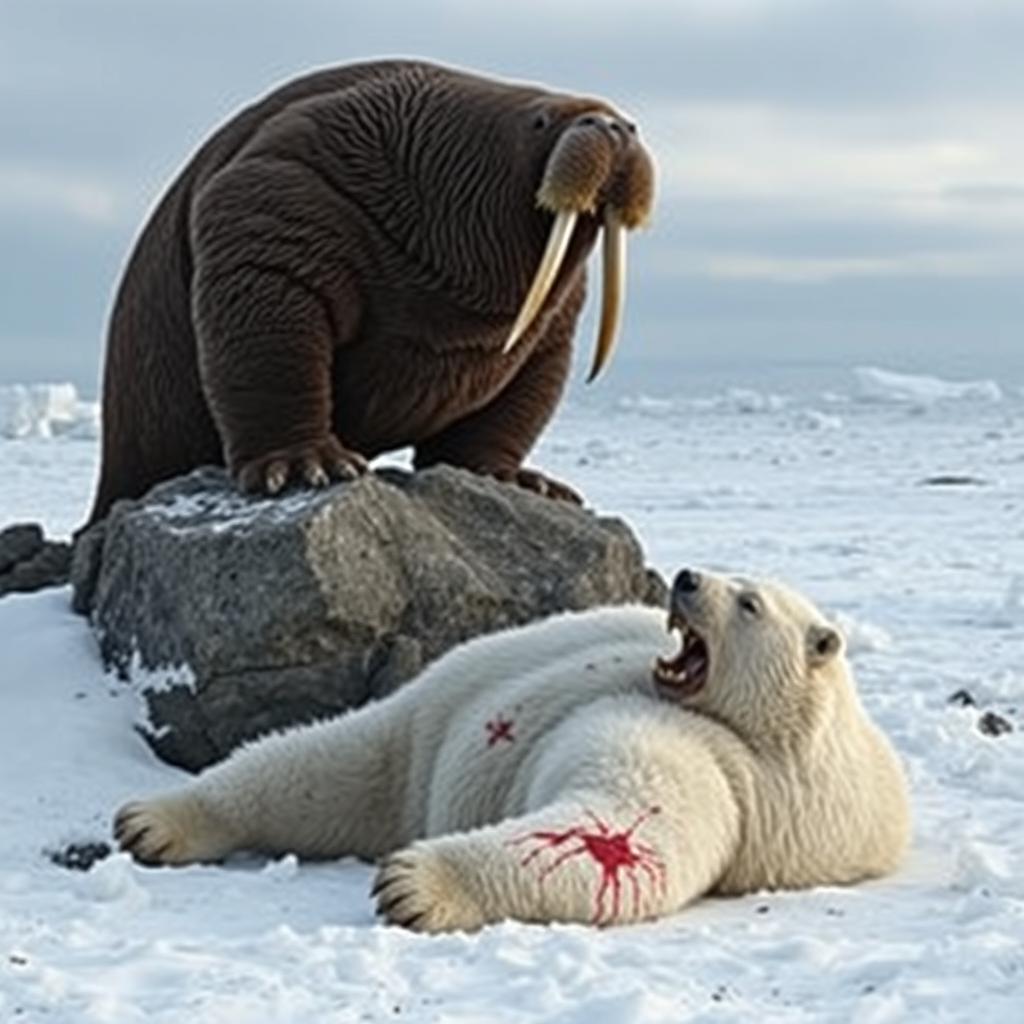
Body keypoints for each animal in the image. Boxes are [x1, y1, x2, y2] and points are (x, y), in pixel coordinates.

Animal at [114, 568, 910, 931]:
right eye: (726, 576)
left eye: (748, 603)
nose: (685, 578)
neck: (785, 736)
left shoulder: (732, 775)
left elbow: (622, 833)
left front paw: (413, 885)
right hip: (449, 697)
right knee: (320, 762)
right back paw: (152, 821)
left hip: (424, 737)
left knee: (340, 772)